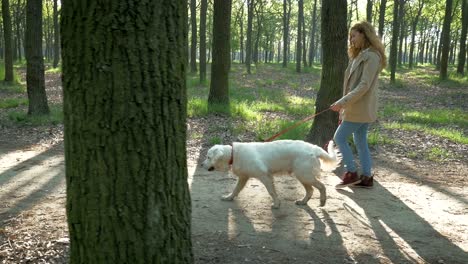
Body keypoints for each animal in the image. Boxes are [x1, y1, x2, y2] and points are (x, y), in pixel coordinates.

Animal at [201, 140, 340, 208]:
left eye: (208, 157)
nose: (202, 165)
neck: (233, 154)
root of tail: (315, 149)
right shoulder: (243, 177)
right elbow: (236, 190)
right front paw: (229, 197)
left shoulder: (265, 176)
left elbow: (272, 192)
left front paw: (277, 204)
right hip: (302, 176)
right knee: (310, 190)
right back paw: (302, 201)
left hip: (304, 175)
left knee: (322, 186)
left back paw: (322, 201)